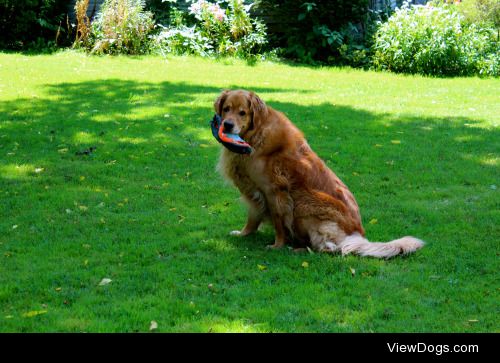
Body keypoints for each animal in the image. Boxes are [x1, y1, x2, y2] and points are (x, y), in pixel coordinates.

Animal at [213, 89, 424, 258]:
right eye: (226, 109)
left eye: (243, 113)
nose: (227, 125)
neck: (255, 134)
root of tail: (357, 235)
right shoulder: (253, 190)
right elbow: (253, 216)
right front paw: (244, 233)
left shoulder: (274, 191)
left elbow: (279, 223)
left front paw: (277, 245)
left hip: (305, 205)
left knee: (329, 248)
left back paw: (298, 249)